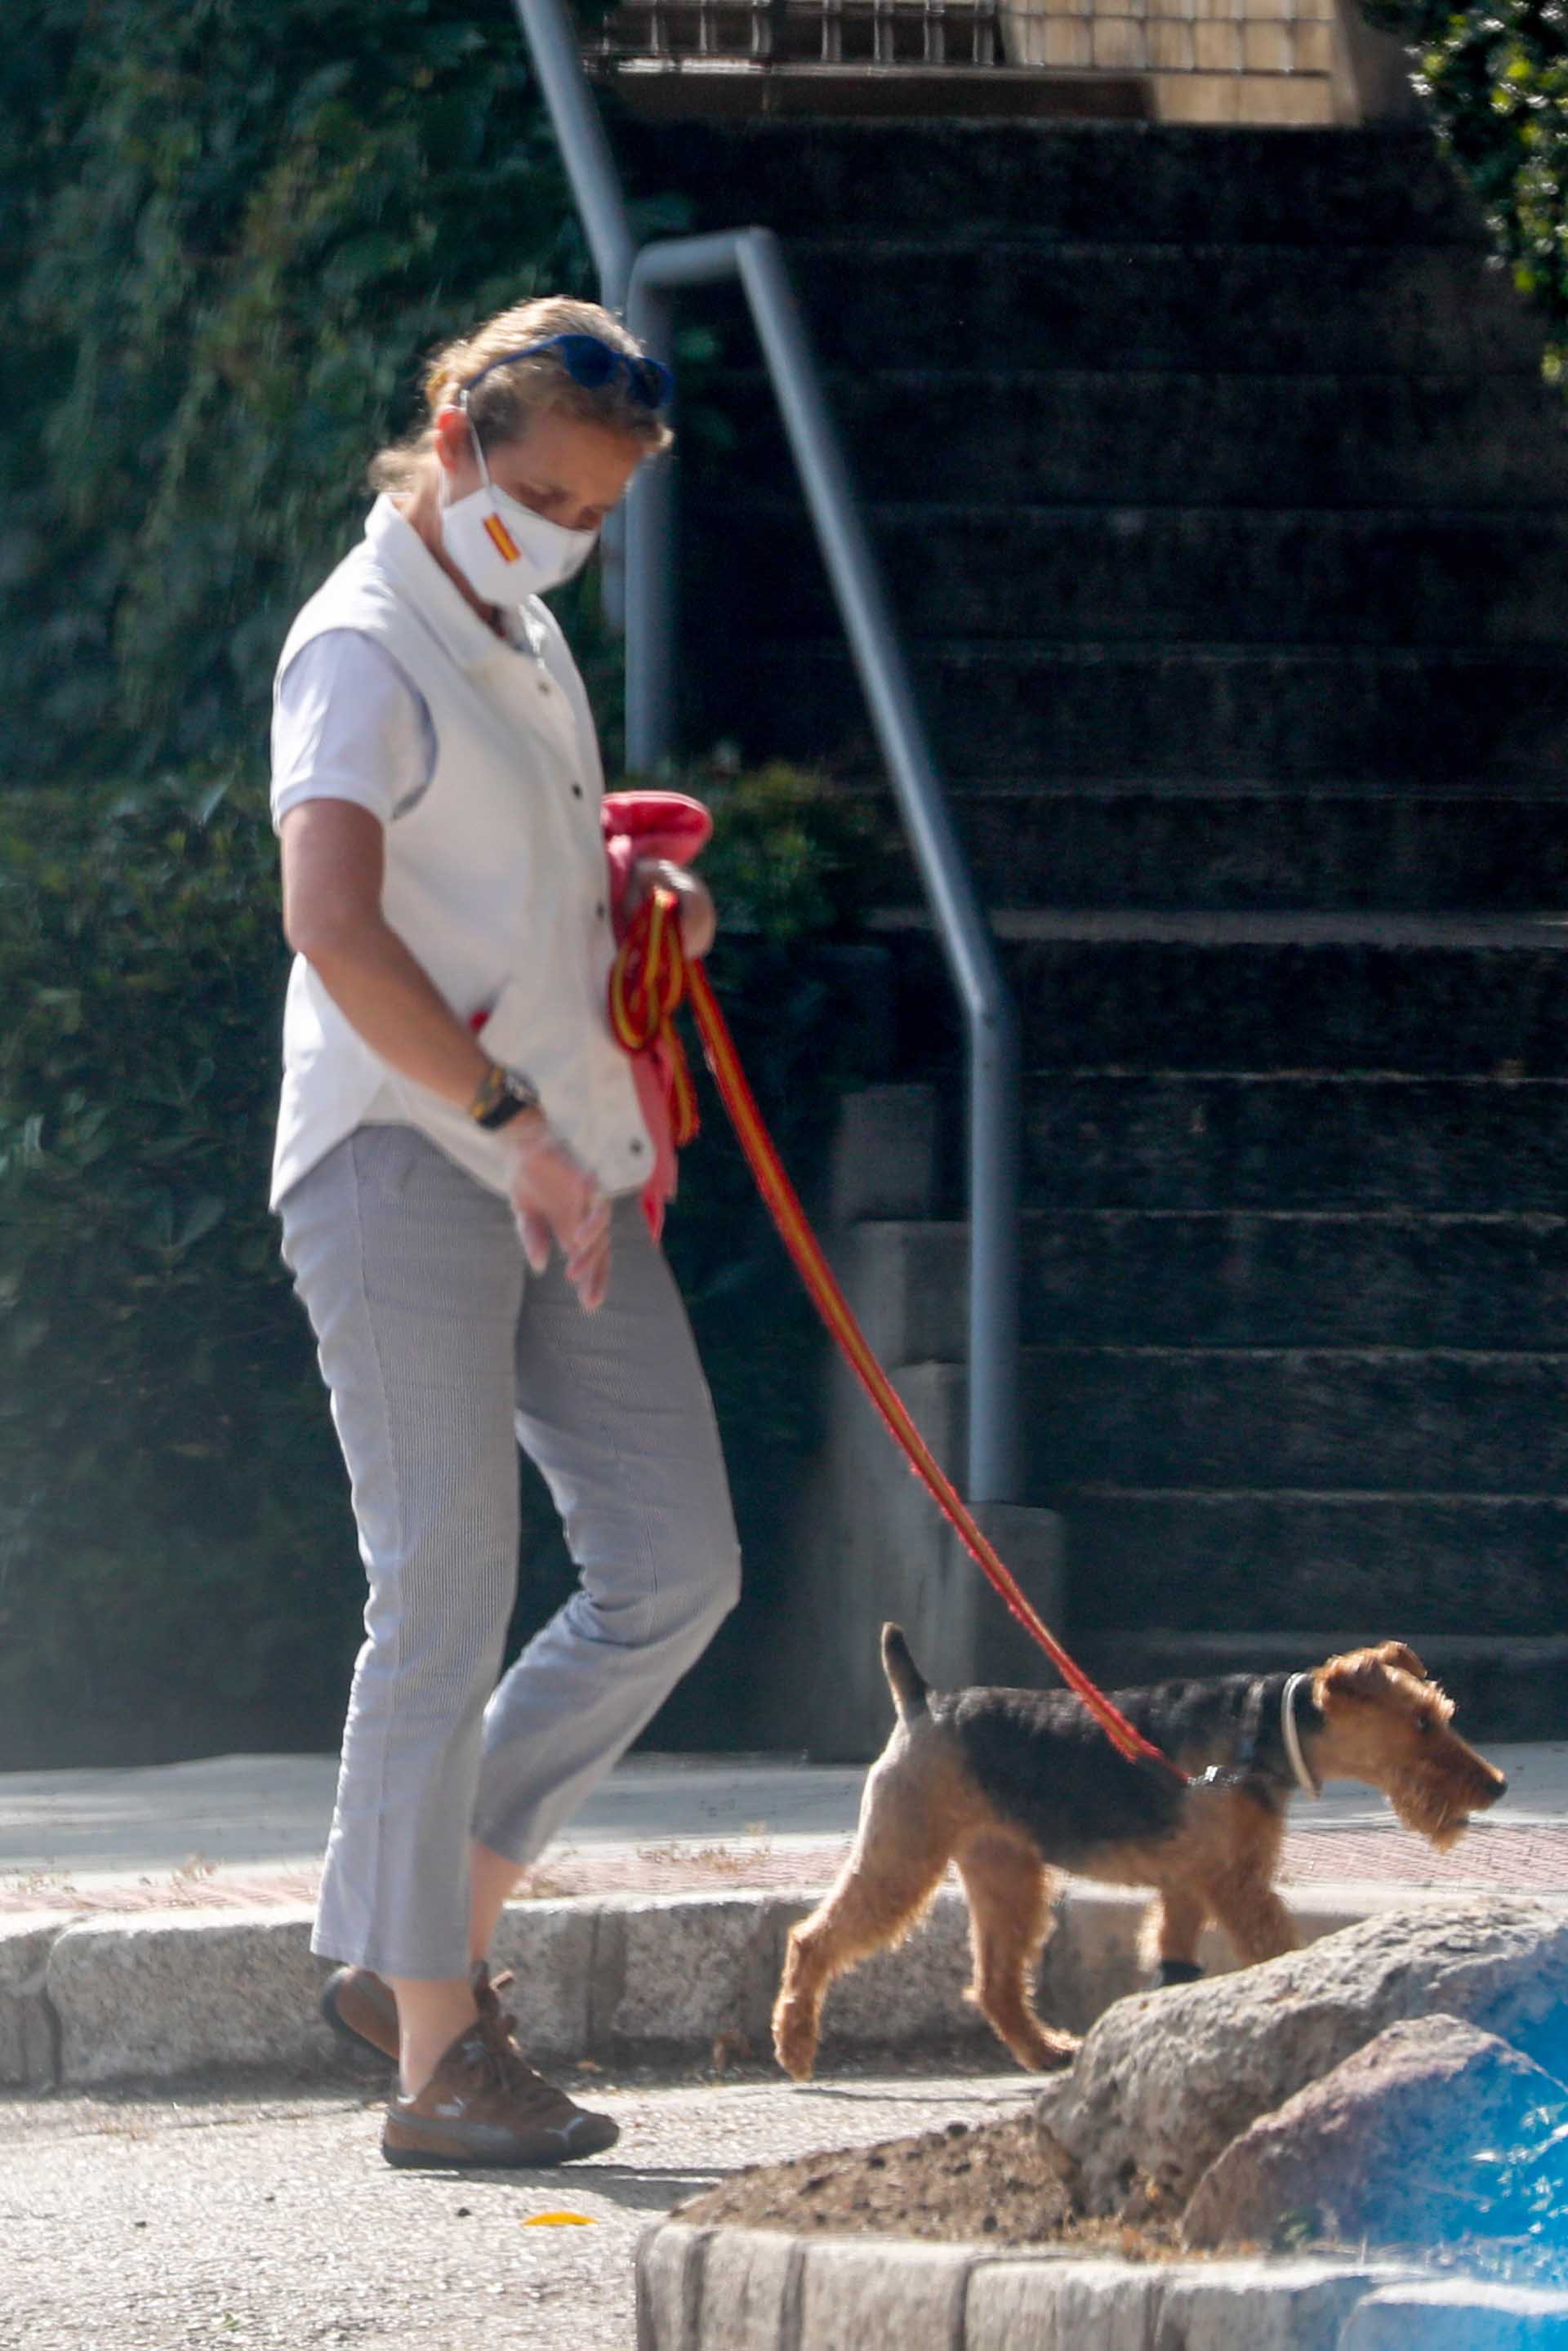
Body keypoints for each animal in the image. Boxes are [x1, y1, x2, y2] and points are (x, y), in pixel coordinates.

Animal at [771, 1627, 1504, 2087]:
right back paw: (796, 2047)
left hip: (1007, 1870)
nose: (1495, 1784)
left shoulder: (1195, 1880)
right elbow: (1274, 1945)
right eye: (1420, 1723)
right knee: (812, 1938)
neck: (1263, 1728)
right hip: (904, 1855)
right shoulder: (1235, 1881)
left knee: (995, 1980)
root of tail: (924, 1702)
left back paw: (1045, 2050)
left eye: (1442, 1714)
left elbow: (1177, 1956)